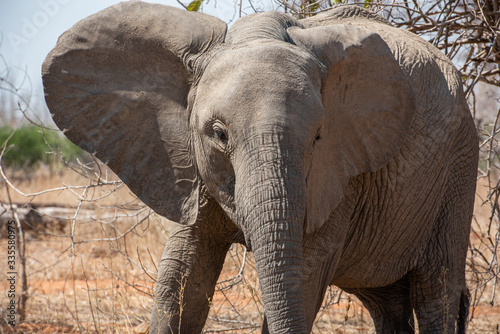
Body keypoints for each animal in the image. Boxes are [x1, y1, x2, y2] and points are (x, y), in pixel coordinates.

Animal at [42, 1, 476, 332]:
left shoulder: (340, 174)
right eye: (218, 134)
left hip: (458, 166)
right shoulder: (190, 166)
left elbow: (303, 275)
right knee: (387, 301)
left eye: (318, 137)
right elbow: (180, 276)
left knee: (435, 291)